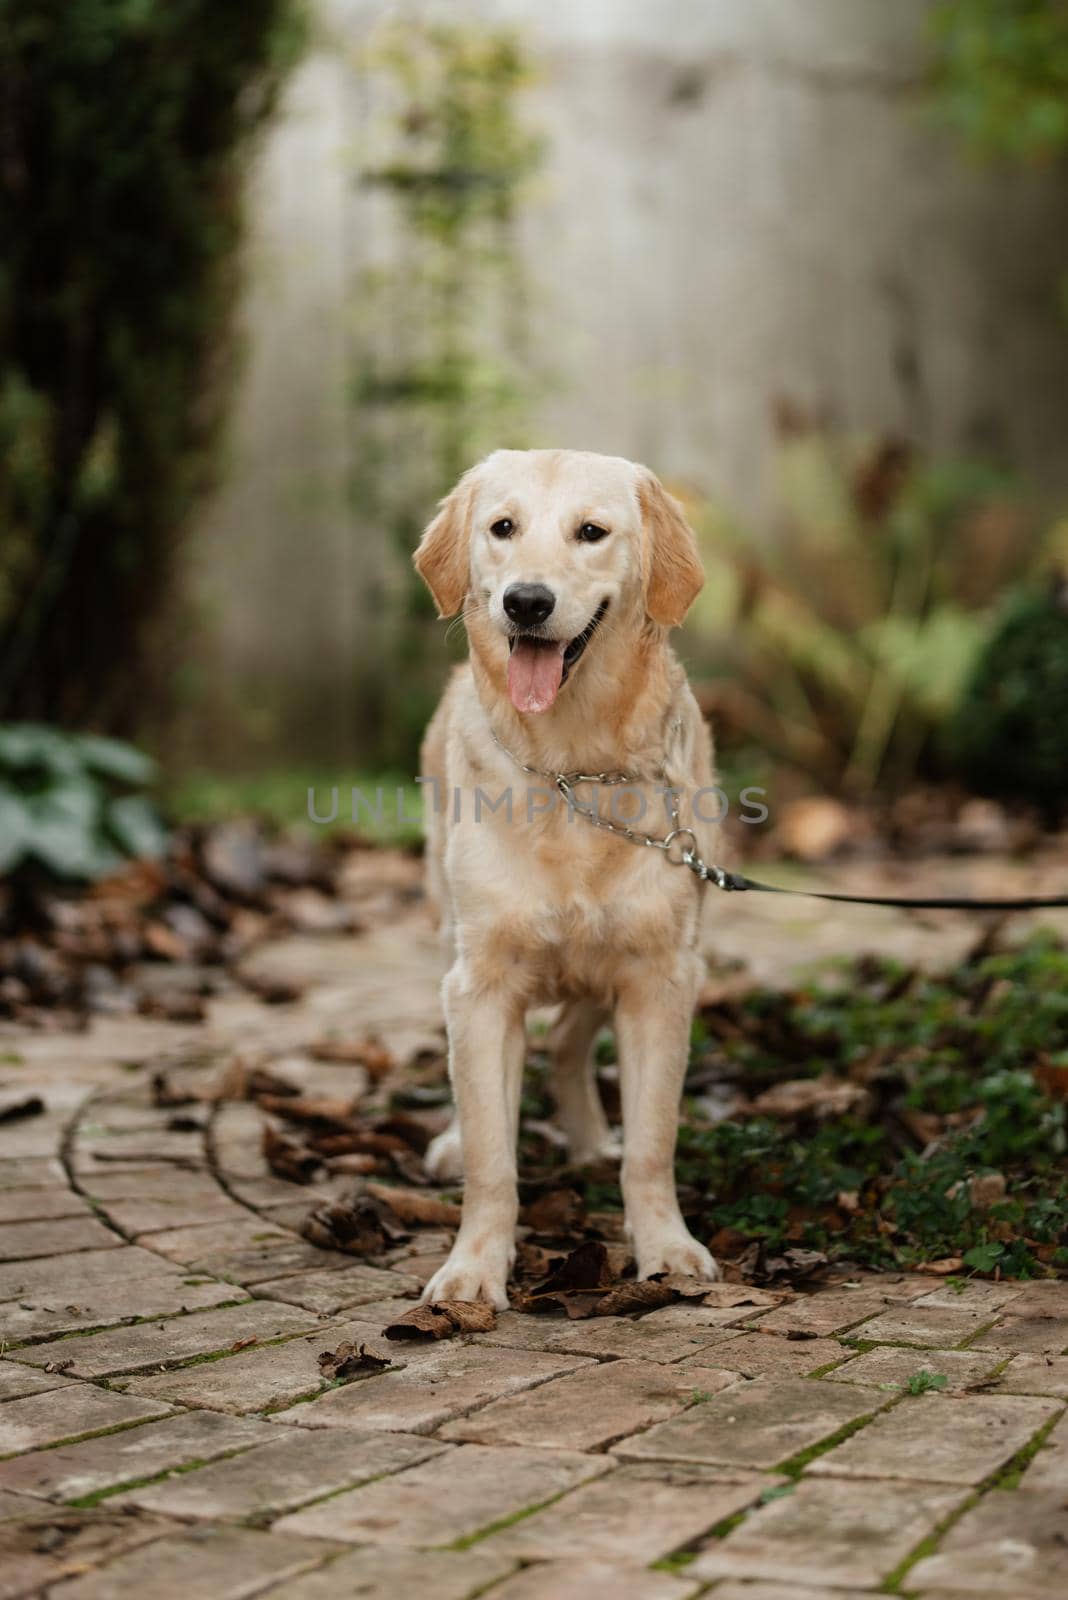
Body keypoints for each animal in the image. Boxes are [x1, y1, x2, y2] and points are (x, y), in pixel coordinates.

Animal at [412, 444, 722, 1305]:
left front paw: (666, 1246)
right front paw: (474, 1267)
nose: (526, 602)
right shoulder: (481, 985)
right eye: (502, 528)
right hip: (445, 932)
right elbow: (492, 1157)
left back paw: (587, 1136)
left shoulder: (662, 975)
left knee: (570, 1042)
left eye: (591, 532)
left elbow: (652, 1144)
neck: (571, 765)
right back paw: (450, 1140)